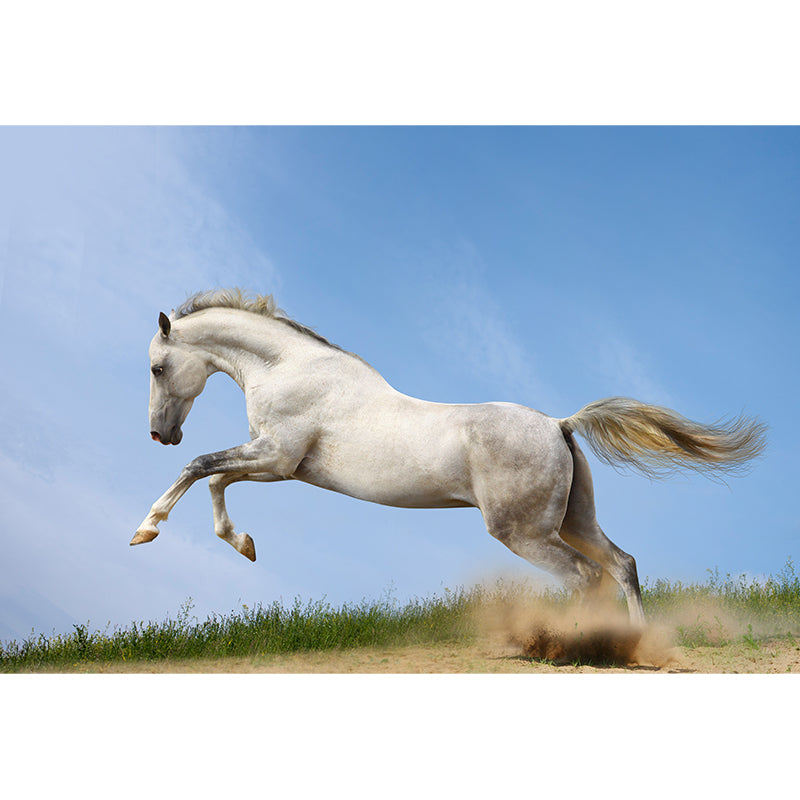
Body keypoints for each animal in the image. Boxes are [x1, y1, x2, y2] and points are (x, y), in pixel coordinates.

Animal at [132, 288, 767, 626]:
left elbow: (200, 469)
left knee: (586, 578)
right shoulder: (276, 466)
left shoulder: (276, 458)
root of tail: (559, 425)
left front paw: (146, 531)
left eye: (158, 368)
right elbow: (215, 481)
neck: (290, 370)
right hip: (573, 521)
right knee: (622, 565)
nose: (161, 434)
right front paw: (243, 544)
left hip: (524, 532)